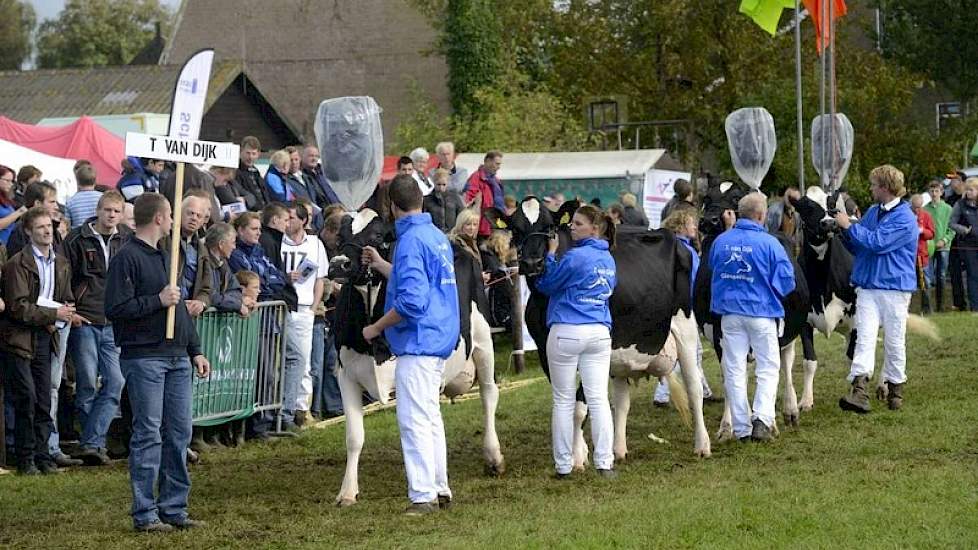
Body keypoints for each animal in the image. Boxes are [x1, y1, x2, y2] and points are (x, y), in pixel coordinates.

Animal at [326, 210, 500, 508]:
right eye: (340, 235)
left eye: (376, 236)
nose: (339, 265)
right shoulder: (345, 374)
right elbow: (354, 437)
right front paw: (347, 492)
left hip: (482, 339)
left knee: (489, 394)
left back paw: (493, 457)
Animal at [510, 198, 708, 466]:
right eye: (514, 228)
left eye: (549, 226)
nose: (532, 263)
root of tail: (671, 236)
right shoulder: (545, 350)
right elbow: (568, 401)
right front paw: (578, 453)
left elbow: (580, 406)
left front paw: (577, 457)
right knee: (622, 401)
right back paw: (618, 450)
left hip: (685, 325)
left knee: (694, 387)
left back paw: (702, 445)